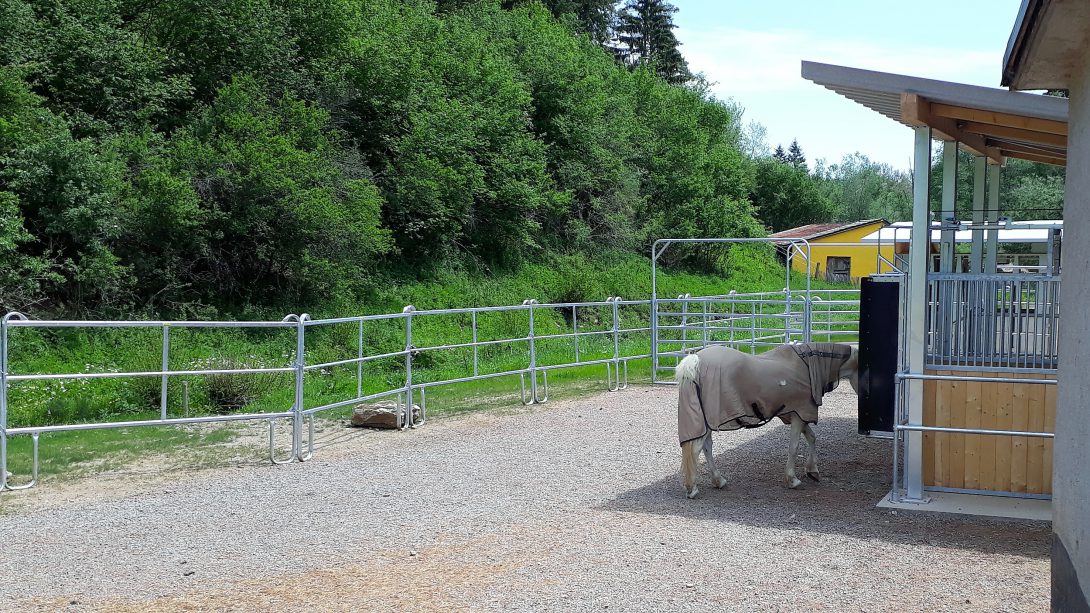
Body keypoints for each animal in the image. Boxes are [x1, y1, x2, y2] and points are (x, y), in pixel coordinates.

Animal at [671, 340, 858, 499]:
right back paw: (692, 489)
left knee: (707, 447)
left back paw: (719, 480)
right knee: (696, 449)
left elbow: (812, 438)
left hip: (705, 421)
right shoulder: (799, 414)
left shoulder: (795, 414)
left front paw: (812, 471)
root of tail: (695, 360)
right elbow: (794, 446)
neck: (806, 365)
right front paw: (792, 479)